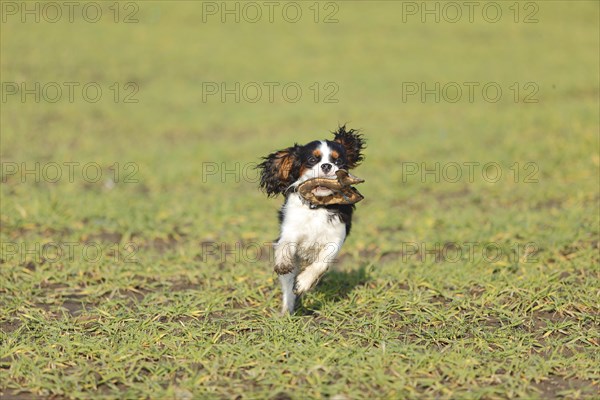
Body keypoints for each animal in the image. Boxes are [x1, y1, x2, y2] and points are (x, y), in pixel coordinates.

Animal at [255, 126, 364, 314]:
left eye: (338, 161)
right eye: (313, 159)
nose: (327, 166)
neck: (317, 206)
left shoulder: (336, 237)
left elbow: (322, 261)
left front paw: (304, 282)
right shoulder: (290, 230)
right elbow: (284, 246)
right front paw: (283, 263)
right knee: (288, 288)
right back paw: (286, 312)